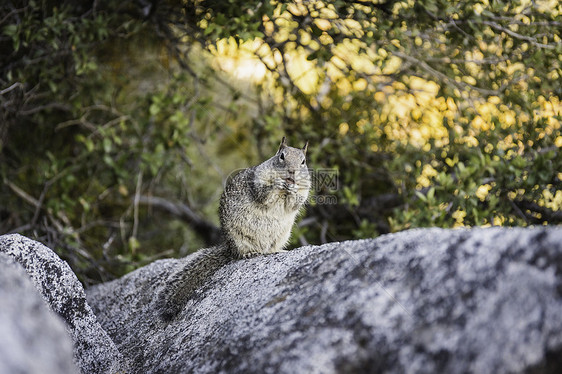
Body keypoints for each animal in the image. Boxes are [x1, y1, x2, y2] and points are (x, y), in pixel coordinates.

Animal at [155, 136, 308, 320]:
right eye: (282, 156)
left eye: (303, 161)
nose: (292, 172)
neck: (284, 192)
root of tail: (229, 248)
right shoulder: (257, 183)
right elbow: (264, 194)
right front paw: (278, 183)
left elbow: (295, 202)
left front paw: (293, 189)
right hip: (239, 239)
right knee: (242, 254)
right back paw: (251, 253)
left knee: (271, 249)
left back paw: (278, 250)